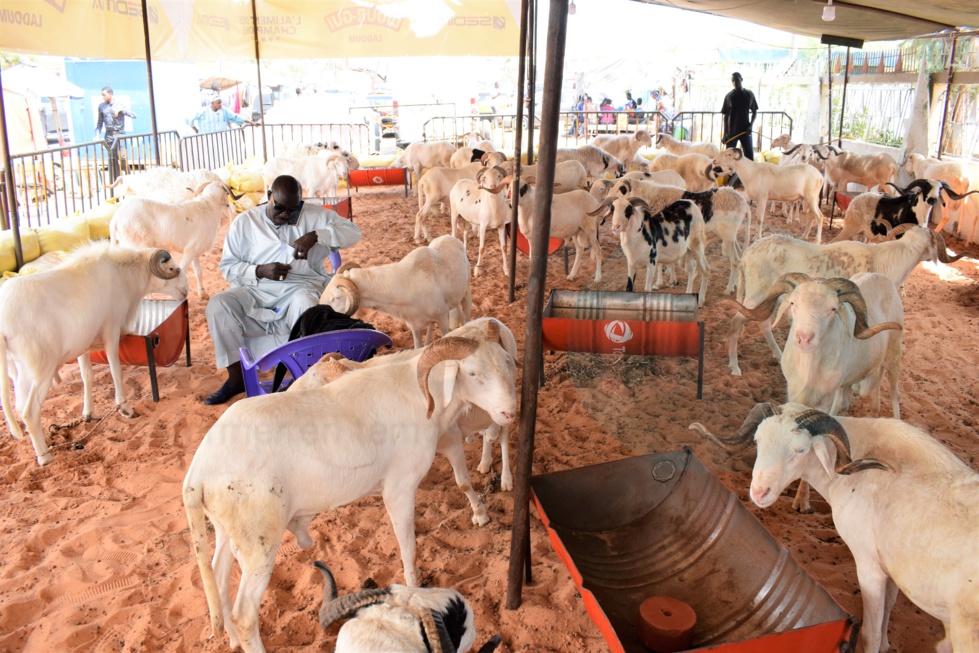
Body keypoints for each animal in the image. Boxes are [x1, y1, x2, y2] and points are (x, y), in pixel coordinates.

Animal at [0, 243, 187, 464]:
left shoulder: (83, 345)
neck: (123, 275)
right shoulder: (111, 332)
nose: (186, 290)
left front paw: (88, 414)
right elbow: (116, 372)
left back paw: (44, 441)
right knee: (29, 412)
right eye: (171, 268)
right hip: (41, 369)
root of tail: (3, 322)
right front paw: (125, 408)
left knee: (20, 406)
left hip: (18, 371)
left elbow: (87, 377)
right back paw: (45, 457)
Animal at [185, 324, 520, 648]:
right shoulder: (399, 489)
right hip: (259, 541)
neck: (418, 396)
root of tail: (198, 472)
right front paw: (416, 587)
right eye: (472, 373)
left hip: (227, 530)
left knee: (218, 580)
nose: (510, 412)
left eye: (506, 361)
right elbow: (409, 550)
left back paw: (229, 638)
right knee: (244, 614)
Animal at [320, 233, 472, 346]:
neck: (407, 282)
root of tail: (450, 236)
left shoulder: (443, 319)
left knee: (466, 314)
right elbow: (418, 346)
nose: (321, 309)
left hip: (466, 293)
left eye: (336, 297)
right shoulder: (415, 326)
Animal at [692, 402, 979, 652]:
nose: (760, 493)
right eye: (757, 441)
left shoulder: (869, 565)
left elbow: (871, 634)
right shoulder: (894, 567)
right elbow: (888, 609)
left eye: (800, 450)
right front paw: (887, 644)